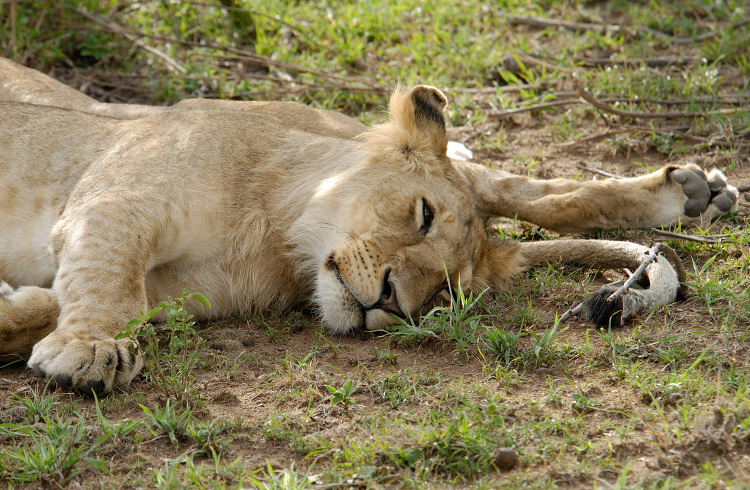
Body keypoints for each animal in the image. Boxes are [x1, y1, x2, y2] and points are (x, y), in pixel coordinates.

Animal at [0, 58, 740, 394]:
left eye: (449, 293)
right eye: (422, 215)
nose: (390, 301)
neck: (268, 235)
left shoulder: (173, 284)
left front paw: (29, 318)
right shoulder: (117, 197)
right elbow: (108, 278)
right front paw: (89, 347)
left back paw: (692, 194)